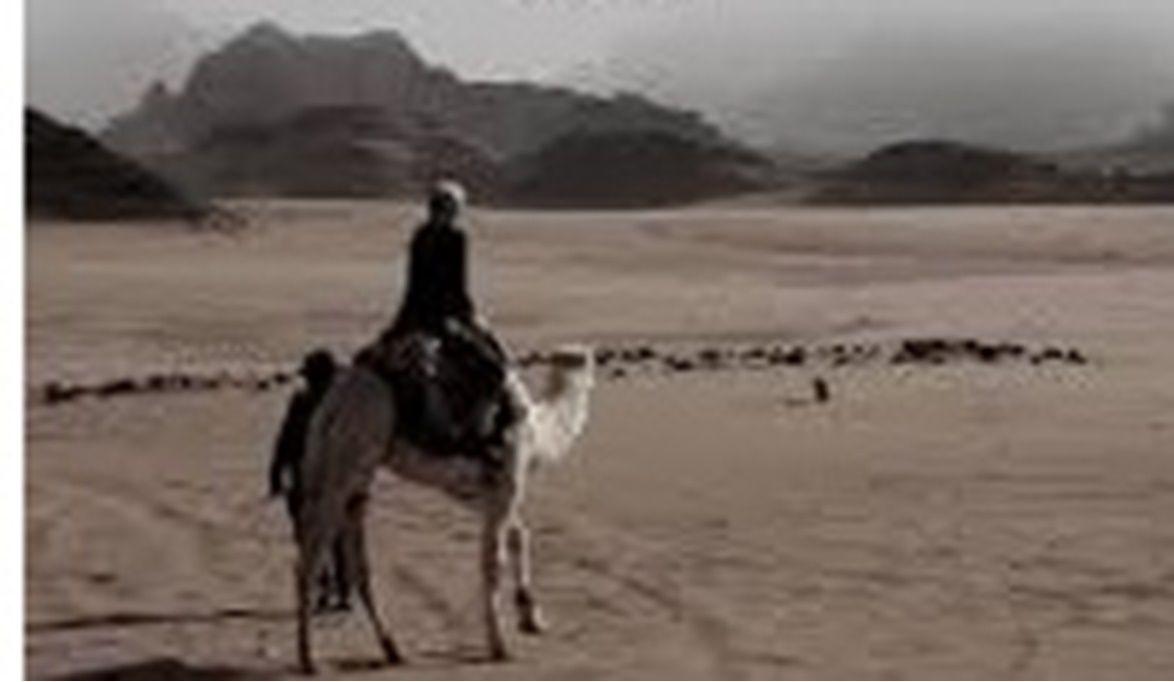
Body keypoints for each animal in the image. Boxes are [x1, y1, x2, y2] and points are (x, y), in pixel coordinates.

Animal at [292, 344, 595, 673]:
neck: (538, 430)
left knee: (357, 562)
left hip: (346, 470)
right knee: (311, 559)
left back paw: (391, 648)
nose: (592, 380)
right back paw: (309, 659)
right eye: (586, 362)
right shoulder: (506, 483)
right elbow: (493, 563)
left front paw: (531, 617)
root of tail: (332, 399)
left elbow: (520, 535)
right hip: (348, 455)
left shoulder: (481, 493)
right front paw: (499, 646)